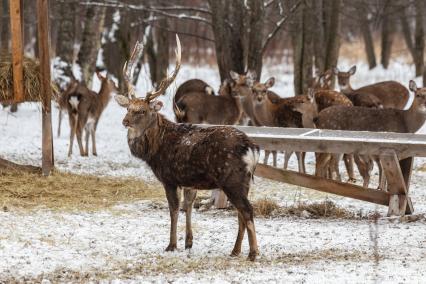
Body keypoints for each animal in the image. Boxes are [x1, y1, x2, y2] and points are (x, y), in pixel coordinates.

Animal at [115, 36, 260, 260]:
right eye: (129, 108)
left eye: (142, 111)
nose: (125, 121)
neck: (155, 149)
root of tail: (251, 149)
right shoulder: (189, 180)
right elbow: (189, 204)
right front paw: (188, 242)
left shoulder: (169, 178)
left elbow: (174, 209)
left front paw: (171, 244)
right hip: (243, 182)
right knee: (240, 213)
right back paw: (235, 250)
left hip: (233, 179)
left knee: (247, 210)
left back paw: (253, 253)